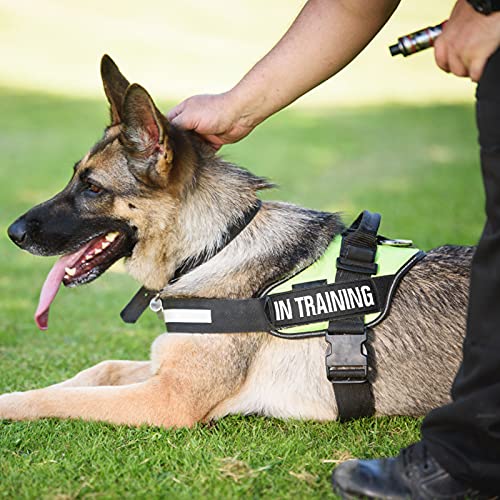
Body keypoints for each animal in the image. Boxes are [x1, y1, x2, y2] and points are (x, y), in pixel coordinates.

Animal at [1, 56, 472, 428]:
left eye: (93, 188)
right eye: (74, 176)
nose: (13, 233)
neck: (213, 248)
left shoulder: (167, 399)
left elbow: (58, 397)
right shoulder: (157, 370)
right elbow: (98, 369)